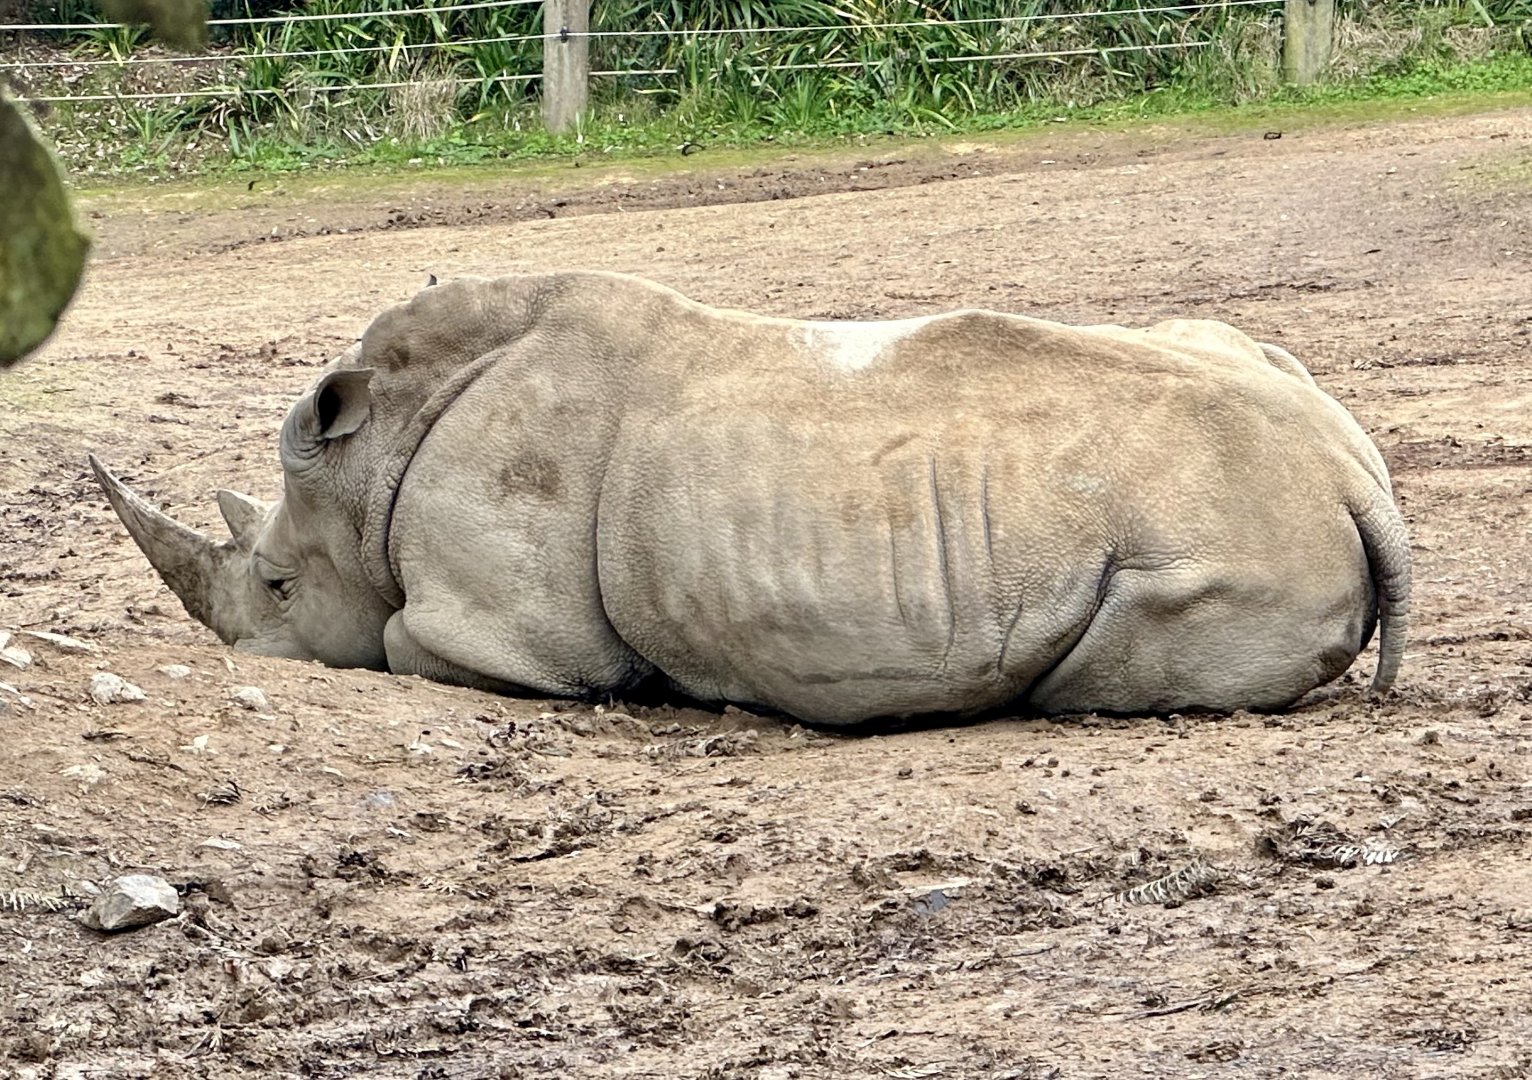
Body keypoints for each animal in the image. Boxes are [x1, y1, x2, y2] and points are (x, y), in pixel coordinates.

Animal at [90, 272, 1410, 726]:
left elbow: (405, 645)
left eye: (274, 584)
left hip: (1213, 537)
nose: (243, 650)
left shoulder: (503, 633)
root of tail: (1353, 478)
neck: (376, 465)